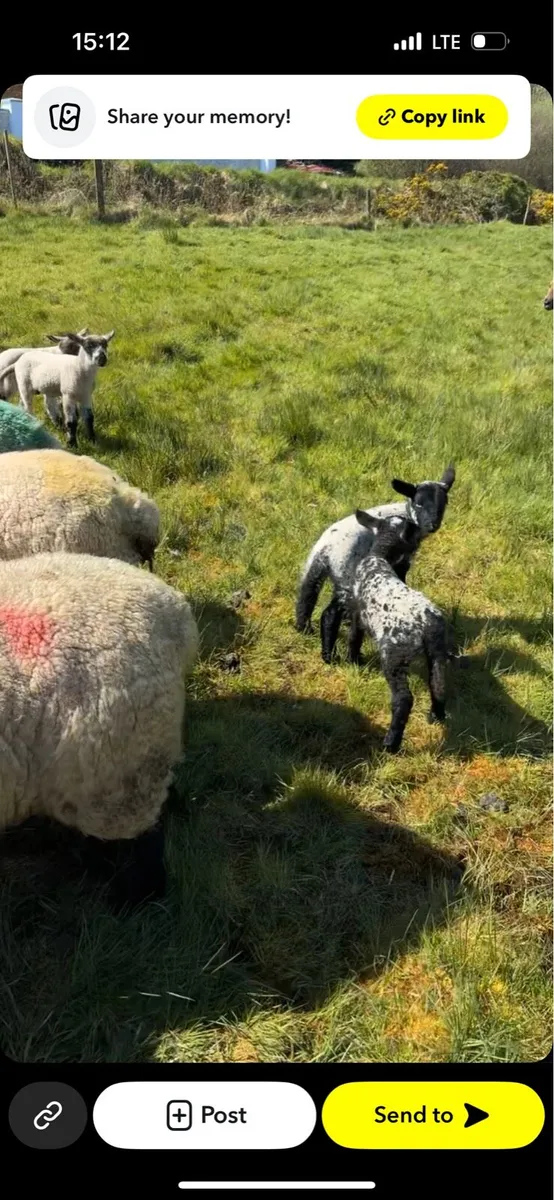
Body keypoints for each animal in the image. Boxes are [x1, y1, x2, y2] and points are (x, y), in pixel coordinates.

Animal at [295, 466, 455, 666]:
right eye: (419, 503)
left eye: (443, 503)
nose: (433, 525)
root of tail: (326, 549)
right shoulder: (402, 560)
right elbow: (401, 578)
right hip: (346, 575)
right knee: (329, 614)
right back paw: (330, 656)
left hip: (315, 567)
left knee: (306, 595)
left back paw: (304, 629)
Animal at [347, 512, 449, 753]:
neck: (379, 557)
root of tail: (427, 623)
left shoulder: (357, 612)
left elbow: (354, 637)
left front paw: (352, 660)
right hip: (437, 651)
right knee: (438, 683)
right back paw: (436, 716)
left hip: (394, 653)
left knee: (403, 699)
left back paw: (391, 743)